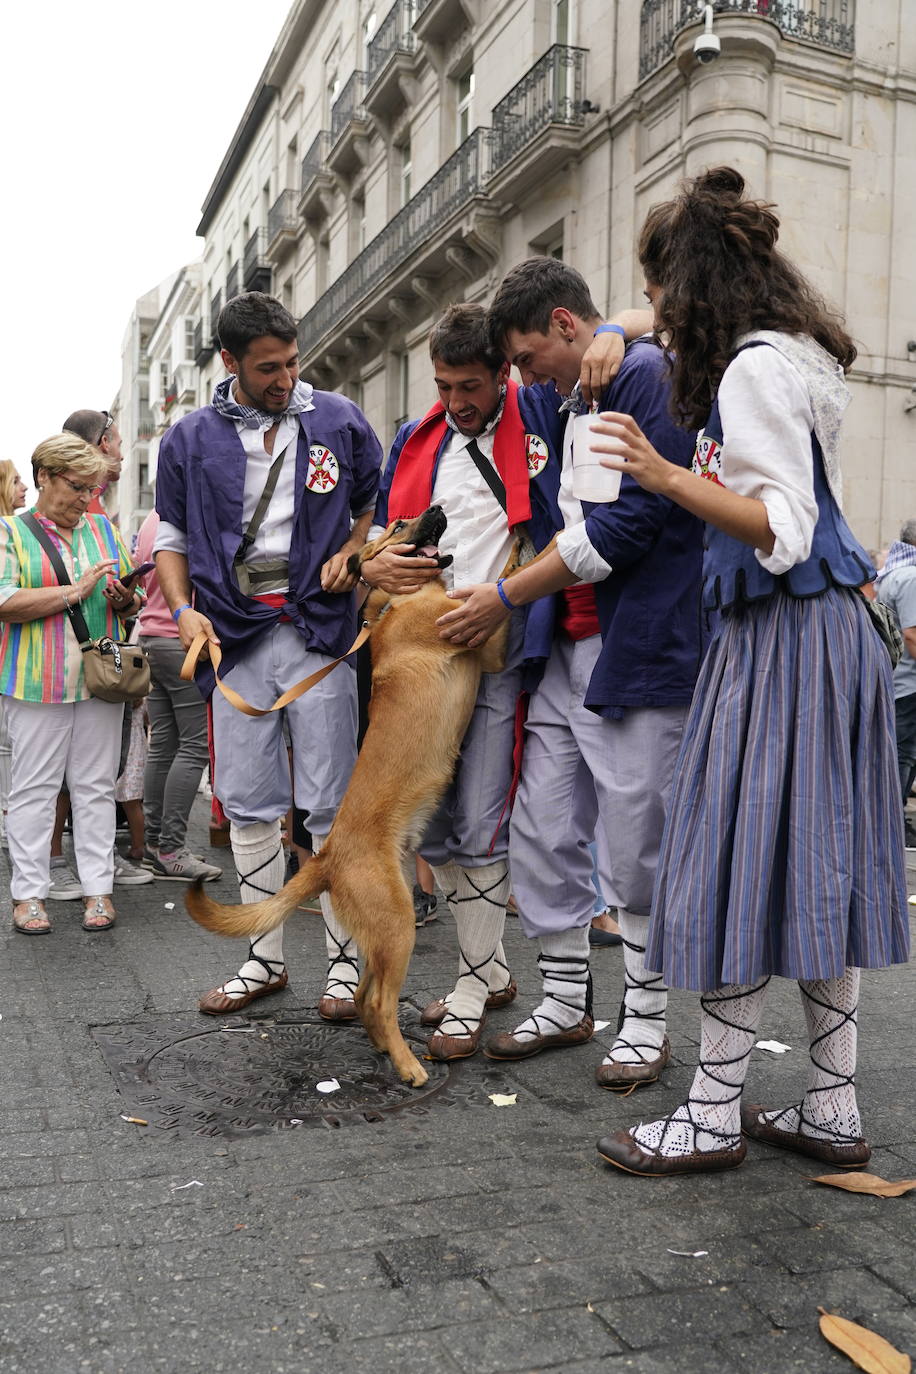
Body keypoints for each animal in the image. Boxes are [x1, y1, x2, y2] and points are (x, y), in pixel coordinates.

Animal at [184, 511, 521, 1088]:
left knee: (366, 997)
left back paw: (387, 1050)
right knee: (379, 1002)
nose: (436, 508)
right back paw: (409, 1066)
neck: (399, 600)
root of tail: (326, 859)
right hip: (398, 924)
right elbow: (508, 573)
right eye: (402, 525)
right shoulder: (485, 638)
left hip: (381, 934)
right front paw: (536, 541)